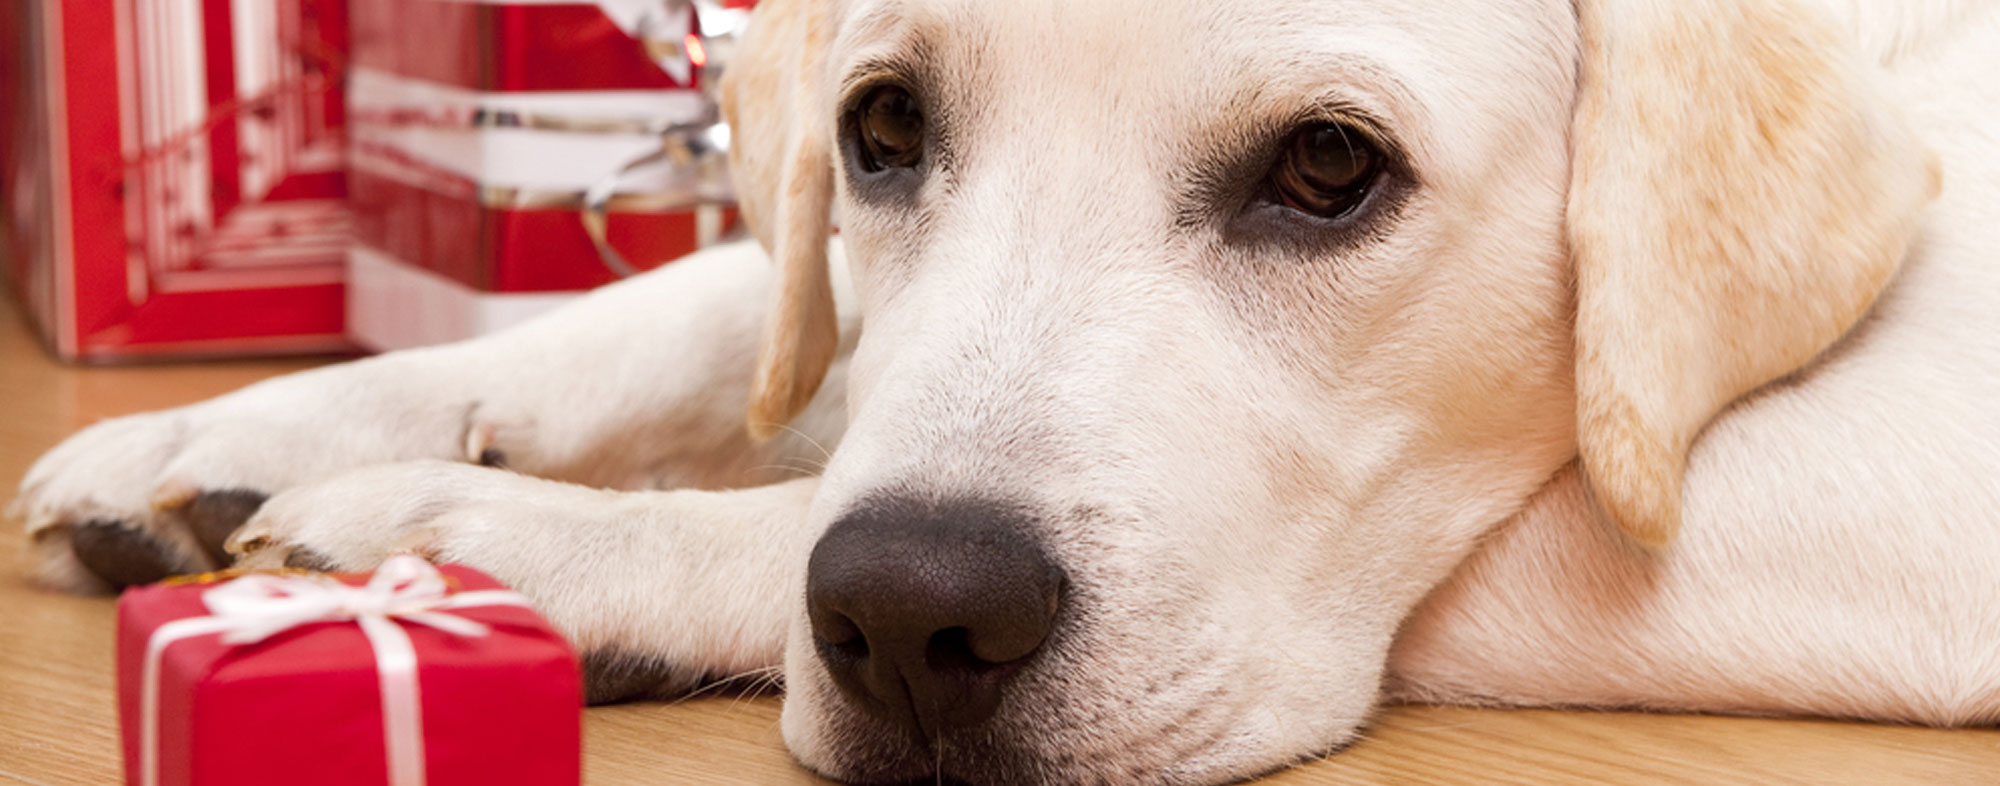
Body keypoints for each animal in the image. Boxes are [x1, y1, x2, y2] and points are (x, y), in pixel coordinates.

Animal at [15, 0, 2000, 780]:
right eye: (885, 128)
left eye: (1330, 167)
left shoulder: (1925, 475)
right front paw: (258, 422)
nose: (911, 617)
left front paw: (486, 538)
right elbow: (707, 304)